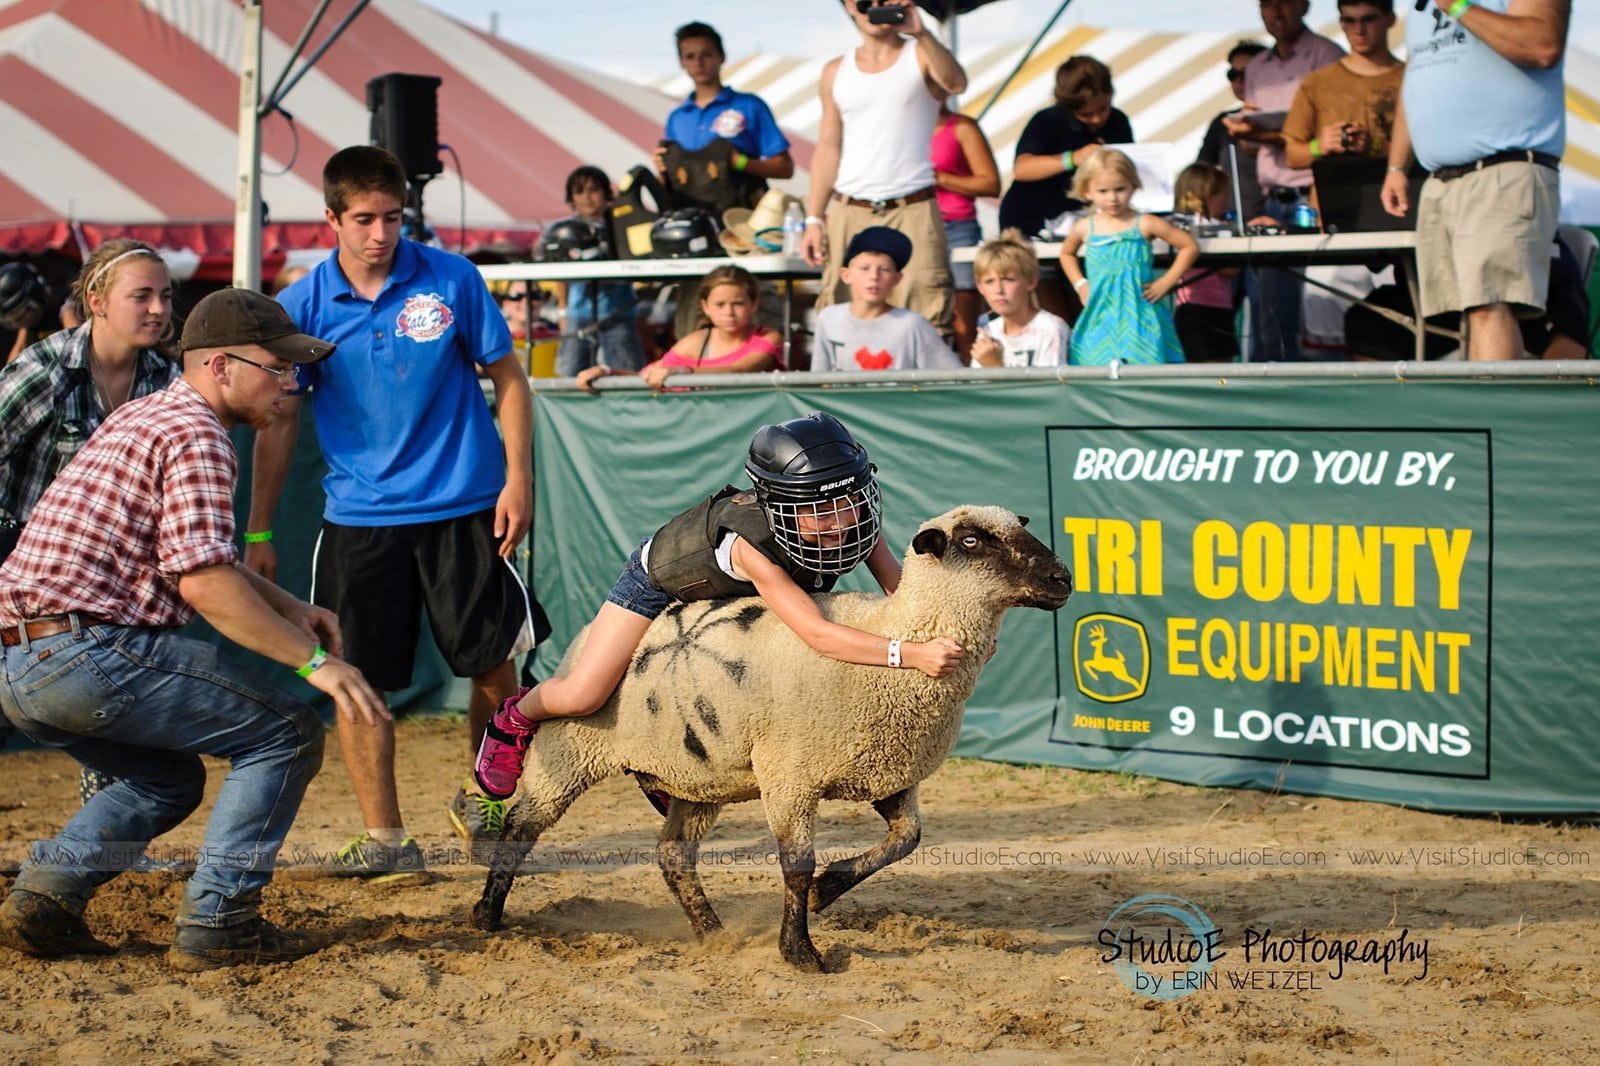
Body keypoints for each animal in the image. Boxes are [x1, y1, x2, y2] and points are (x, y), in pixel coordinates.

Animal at [473, 502, 1075, 966]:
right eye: (972, 540)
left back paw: (713, 934)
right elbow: (796, 866)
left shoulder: (886, 770)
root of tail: (580, 640)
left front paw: (831, 888)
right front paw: (800, 952)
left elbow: (907, 839)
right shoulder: (792, 774)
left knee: (672, 855)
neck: (893, 636)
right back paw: (487, 909)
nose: (1063, 580)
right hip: (572, 743)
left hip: (698, 778)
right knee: (522, 826)